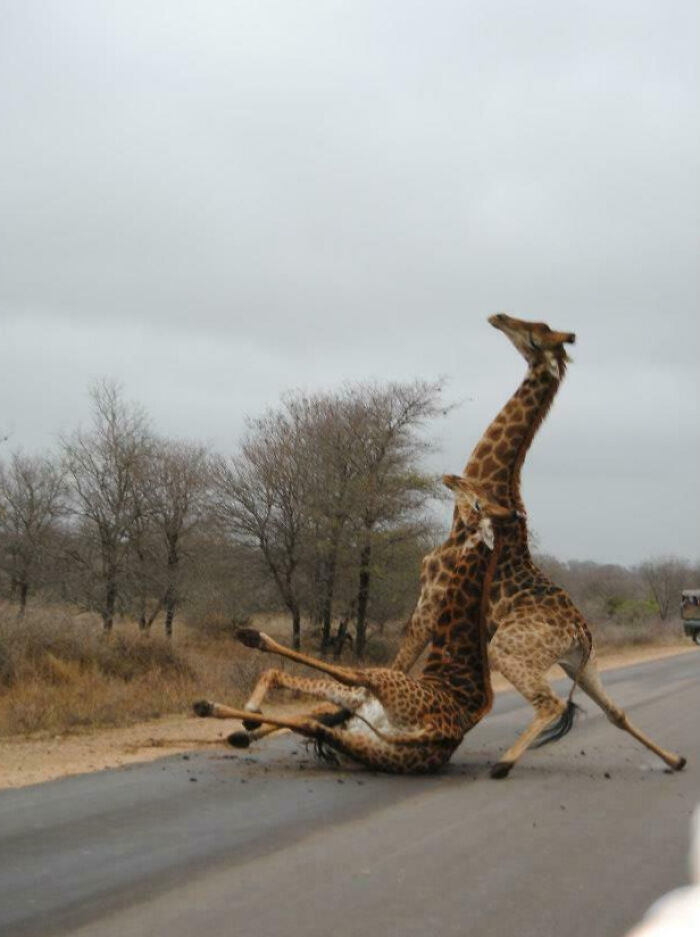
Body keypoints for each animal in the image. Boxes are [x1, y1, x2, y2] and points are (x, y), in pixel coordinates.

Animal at [193, 478, 514, 774]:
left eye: (477, 505)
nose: (451, 481)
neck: (454, 671)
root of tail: (435, 732)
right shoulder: (356, 704)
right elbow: (290, 689)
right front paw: (248, 717)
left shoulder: (359, 696)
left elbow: (314, 679)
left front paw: (247, 710)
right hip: (367, 744)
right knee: (313, 721)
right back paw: (233, 721)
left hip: (378, 693)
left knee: (336, 688)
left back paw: (213, 707)